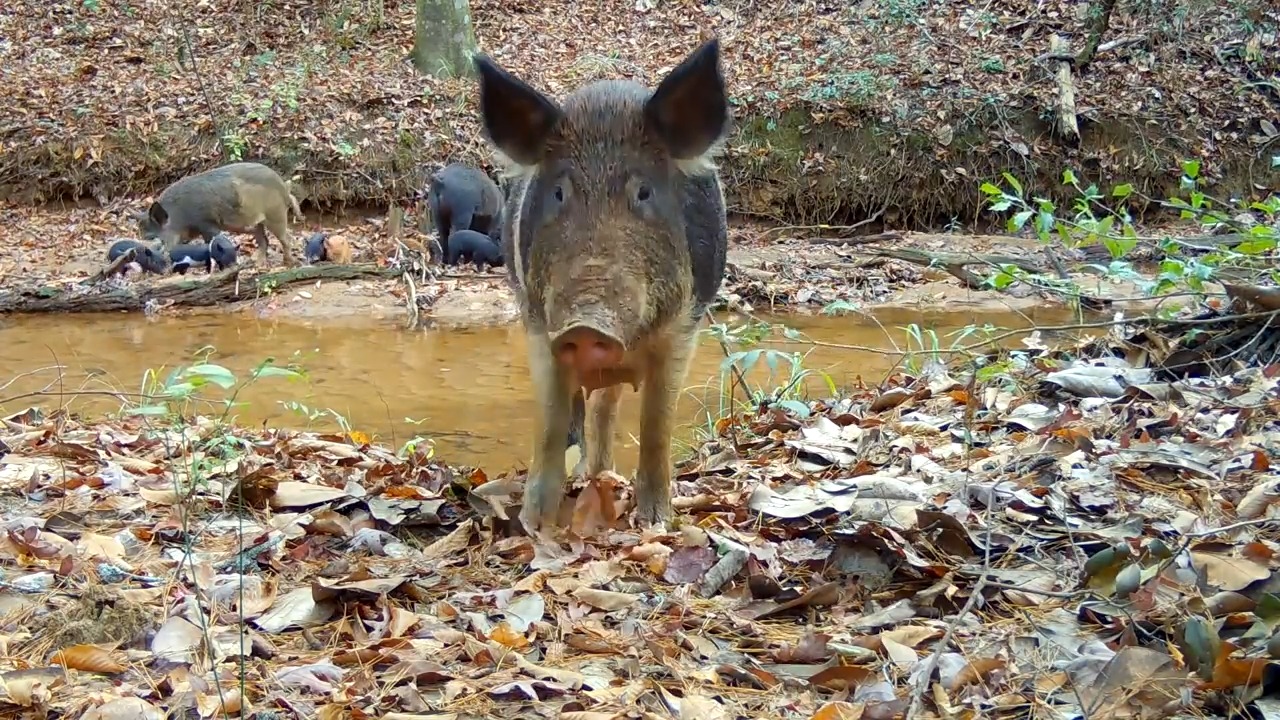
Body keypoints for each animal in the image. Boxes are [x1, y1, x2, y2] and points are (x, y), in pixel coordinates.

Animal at [134, 162, 301, 267]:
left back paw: (288, 264)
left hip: (276, 215)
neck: (179, 217)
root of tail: (284, 187)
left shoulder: (207, 224)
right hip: (255, 224)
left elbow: (211, 243)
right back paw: (257, 264)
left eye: (152, 238)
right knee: (264, 240)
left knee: (286, 239)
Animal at [473, 37, 731, 532]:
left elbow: (657, 424)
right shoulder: (539, 327)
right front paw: (534, 523)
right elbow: (552, 425)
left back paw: (605, 475)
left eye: (643, 192)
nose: (585, 326)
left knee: (607, 410)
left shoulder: (684, 329)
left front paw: (656, 522)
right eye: (559, 193)